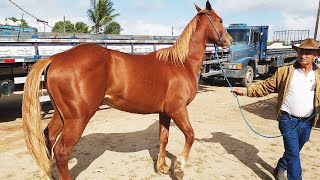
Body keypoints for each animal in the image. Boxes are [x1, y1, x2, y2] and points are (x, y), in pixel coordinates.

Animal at [23, 0, 232, 179]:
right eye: (220, 20)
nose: (229, 41)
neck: (180, 64)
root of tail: (55, 58)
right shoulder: (178, 109)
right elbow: (190, 135)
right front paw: (179, 168)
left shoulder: (165, 112)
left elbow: (163, 137)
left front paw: (162, 167)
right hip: (78, 118)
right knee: (62, 151)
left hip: (61, 115)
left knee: (48, 139)